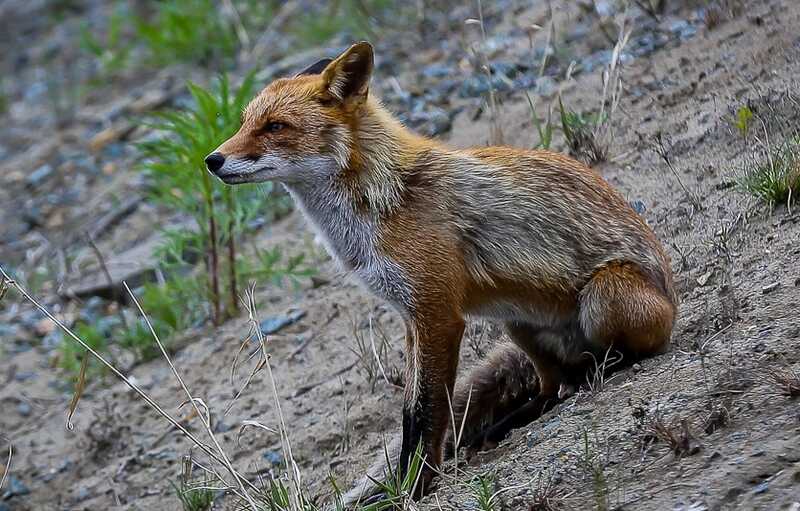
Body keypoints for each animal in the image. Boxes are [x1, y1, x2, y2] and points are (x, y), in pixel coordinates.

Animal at [205, 41, 676, 504]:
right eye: (245, 123)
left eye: (275, 126)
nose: (212, 160)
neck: (384, 200)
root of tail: (672, 296)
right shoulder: (410, 316)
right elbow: (409, 413)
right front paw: (404, 483)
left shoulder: (438, 315)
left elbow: (427, 410)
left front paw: (415, 487)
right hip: (516, 324)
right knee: (556, 384)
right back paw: (511, 422)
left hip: (603, 296)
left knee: (616, 358)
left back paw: (600, 371)